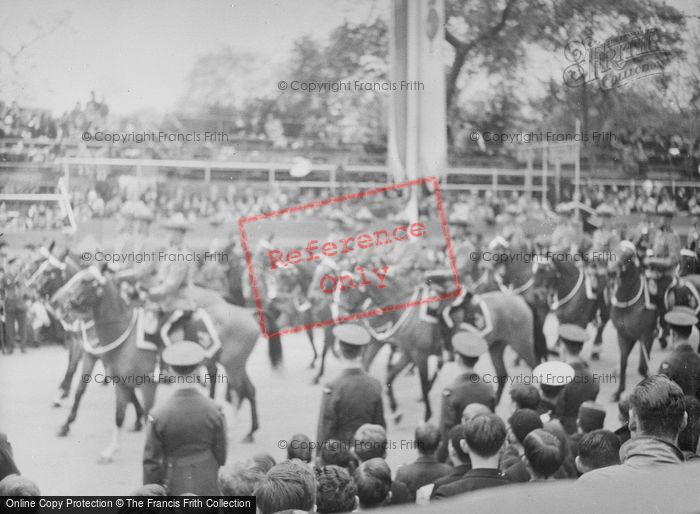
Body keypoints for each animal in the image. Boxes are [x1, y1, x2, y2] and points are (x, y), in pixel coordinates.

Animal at [49, 266, 272, 458]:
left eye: (85, 281)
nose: (61, 303)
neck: (125, 337)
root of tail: (246, 312)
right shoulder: (120, 383)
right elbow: (118, 415)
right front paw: (111, 450)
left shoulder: (148, 384)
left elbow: (148, 415)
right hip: (232, 365)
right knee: (243, 391)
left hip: (234, 366)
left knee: (243, 392)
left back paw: (244, 431)